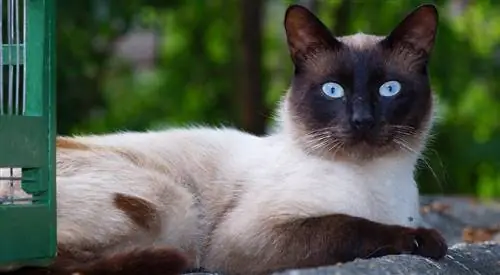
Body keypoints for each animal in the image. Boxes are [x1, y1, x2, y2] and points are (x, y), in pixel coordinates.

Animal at [2, 3, 450, 275]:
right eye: (333, 91)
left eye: (389, 90)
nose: (361, 120)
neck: (375, 185)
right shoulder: (248, 239)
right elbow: (349, 226)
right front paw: (427, 241)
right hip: (172, 203)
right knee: (44, 263)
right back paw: (171, 260)